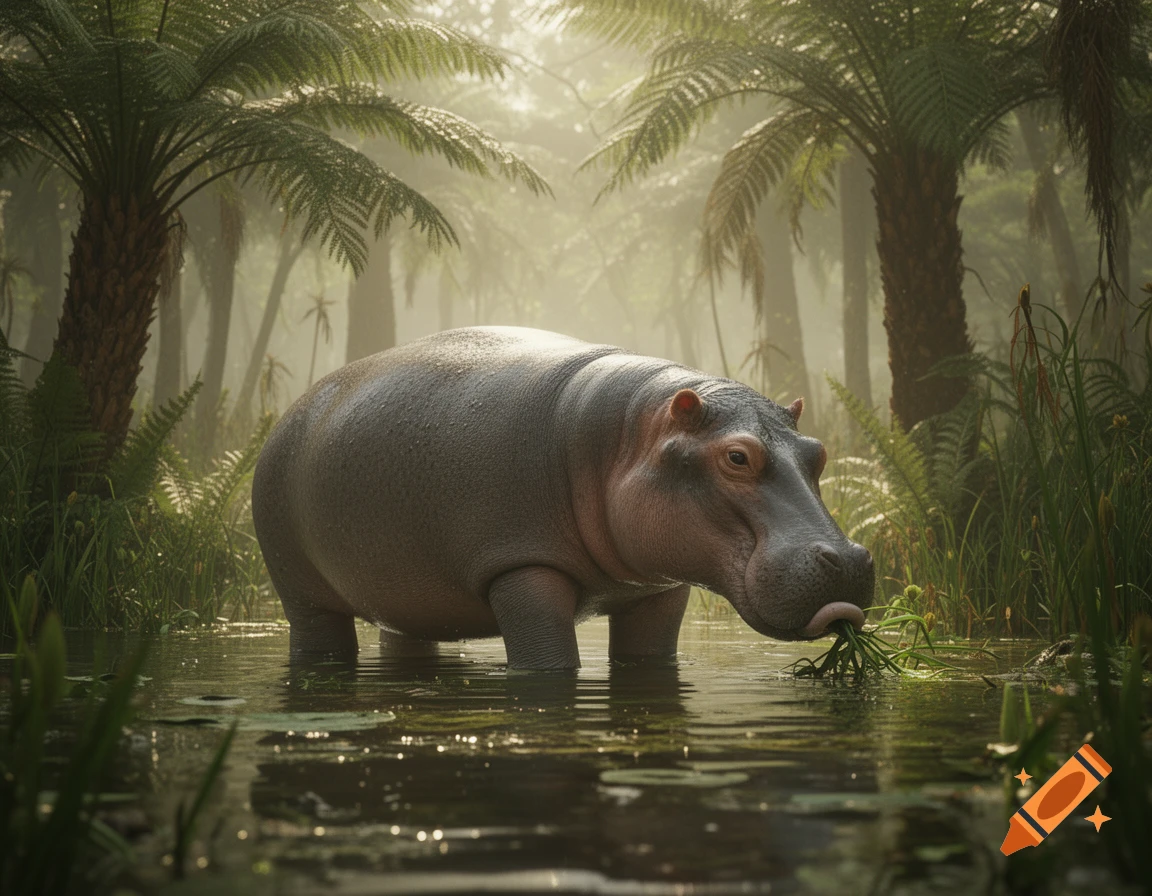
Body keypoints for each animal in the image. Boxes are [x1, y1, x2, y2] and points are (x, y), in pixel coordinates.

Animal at [251, 327, 873, 670]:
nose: (846, 560)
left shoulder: (660, 587)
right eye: (737, 457)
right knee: (318, 638)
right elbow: (551, 664)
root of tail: (294, 409)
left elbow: (650, 657)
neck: (626, 434)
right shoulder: (523, 566)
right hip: (299, 591)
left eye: (818, 452)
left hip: (406, 600)